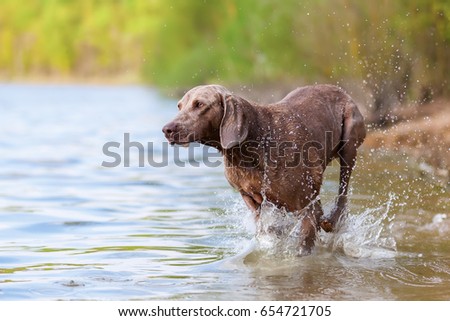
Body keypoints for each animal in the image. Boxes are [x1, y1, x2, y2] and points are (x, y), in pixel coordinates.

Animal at [162, 84, 366, 254]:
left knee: (343, 192)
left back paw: (333, 220)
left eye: (199, 104)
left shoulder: (307, 202)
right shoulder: (251, 197)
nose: (167, 130)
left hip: (349, 141)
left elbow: (304, 242)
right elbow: (269, 231)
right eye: (179, 106)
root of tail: (342, 91)